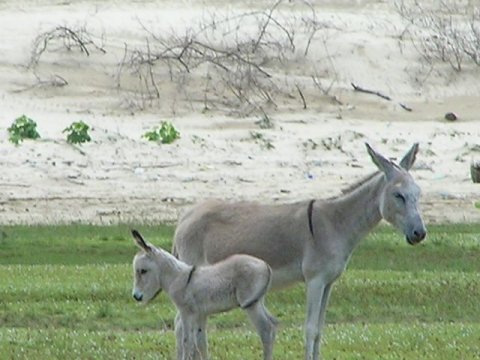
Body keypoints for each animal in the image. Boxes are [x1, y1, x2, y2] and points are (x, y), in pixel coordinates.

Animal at [130, 231, 278, 360]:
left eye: (143, 271)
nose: (136, 296)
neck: (177, 277)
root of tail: (265, 265)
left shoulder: (186, 312)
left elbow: (186, 341)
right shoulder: (200, 314)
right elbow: (200, 343)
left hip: (250, 305)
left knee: (266, 329)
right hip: (257, 301)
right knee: (273, 323)